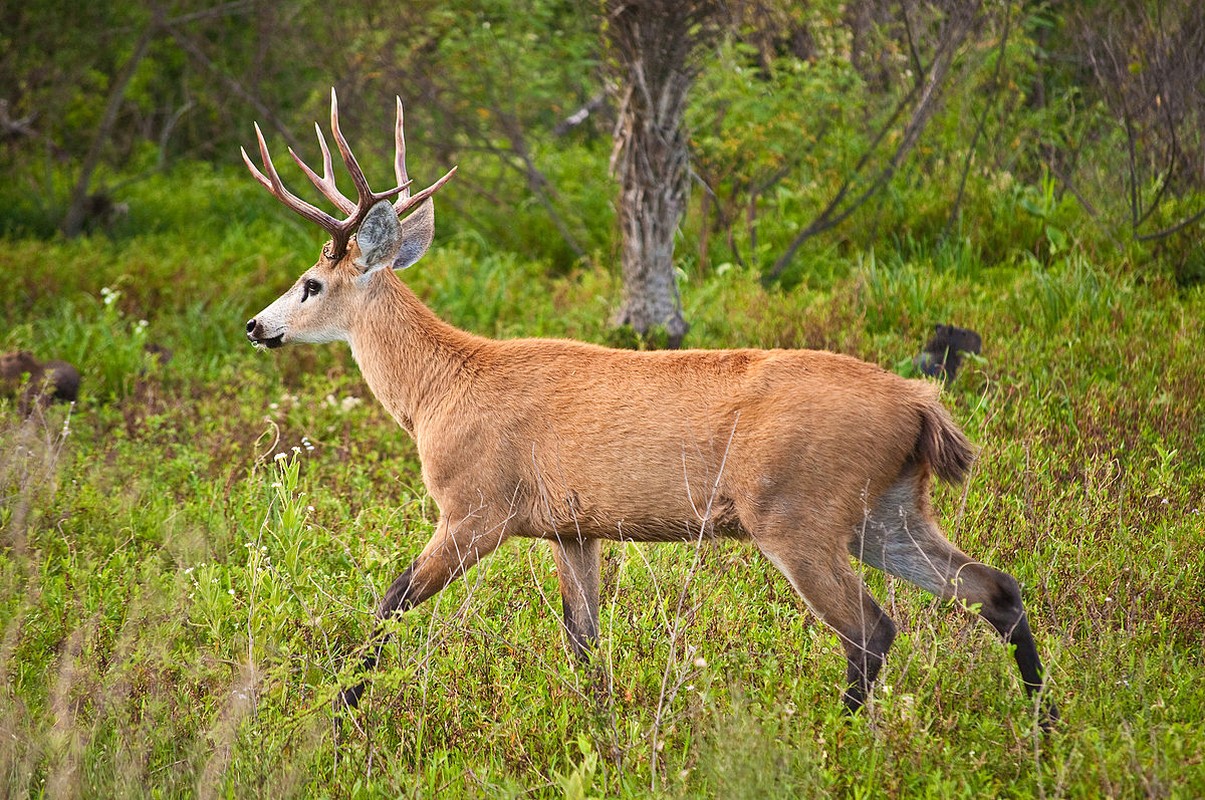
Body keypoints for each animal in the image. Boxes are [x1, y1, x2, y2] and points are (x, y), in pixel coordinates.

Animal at [242, 90, 1055, 727]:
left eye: (312, 282)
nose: (255, 325)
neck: (439, 388)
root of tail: (919, 404)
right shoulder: (571, 529)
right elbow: (584, 640)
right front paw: (597, 727)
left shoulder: (477, 507)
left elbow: (389, 600)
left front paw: (336, 719)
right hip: (886, 509)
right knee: (994, 588)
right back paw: (1043, 728)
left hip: (796, 511)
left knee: (872, 629)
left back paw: (842, 739)